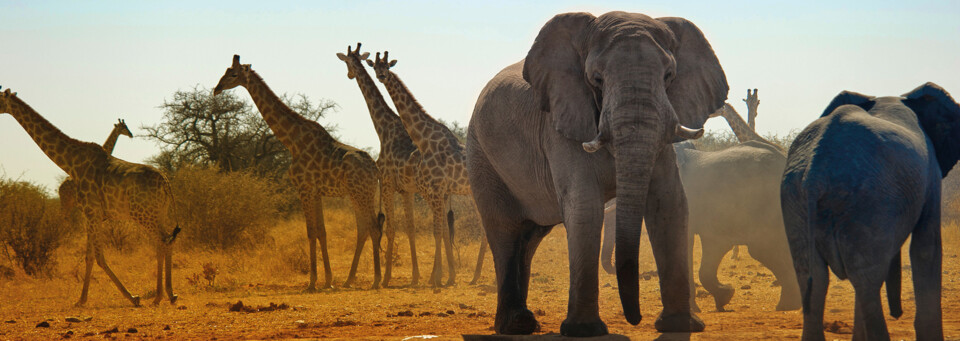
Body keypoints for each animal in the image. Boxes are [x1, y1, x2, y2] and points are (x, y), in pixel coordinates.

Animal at [0, 87, 181, 306]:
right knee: (167, 239)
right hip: (158, 212)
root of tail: (166, 183)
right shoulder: (91, 215)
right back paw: (169, 294)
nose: (130, 134)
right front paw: (81, 299)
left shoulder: (92, 212)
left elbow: (99, 256)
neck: (71, 163)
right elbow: (89, 257)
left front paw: (133, 297)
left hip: (143, 214)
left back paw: (160, 296)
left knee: (163, 240)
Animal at [216, 55, 384, 290]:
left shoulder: (304, 189)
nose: (217, 89)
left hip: (361, 194)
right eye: (225, 71)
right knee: (364, 229)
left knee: (373, 228)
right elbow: (322, 232)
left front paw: (312, 282)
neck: (292, 141)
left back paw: (376, 280)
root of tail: (375, 170)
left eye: (233, 74)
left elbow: (310, 231)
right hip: (357, 194)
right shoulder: (316, 192)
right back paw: (349, 279)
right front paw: (328, 280)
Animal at [342, 43, 424, 286]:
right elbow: (410, 228)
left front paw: (386, 278)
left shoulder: (387, 184)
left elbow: (391, 229)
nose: (349, 74)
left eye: (348, 62)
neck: (383, 128)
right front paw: (415, 276)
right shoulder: (406, 190)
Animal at [372, 49, 484, 284]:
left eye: (387, 66)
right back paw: (478, 277)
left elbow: (437, 232)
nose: (381, 76)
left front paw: (438, 278)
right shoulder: (434, 192)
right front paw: (440, 277)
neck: (424, 141)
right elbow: (438, 231)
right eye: (375, 67)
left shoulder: (434, 191)